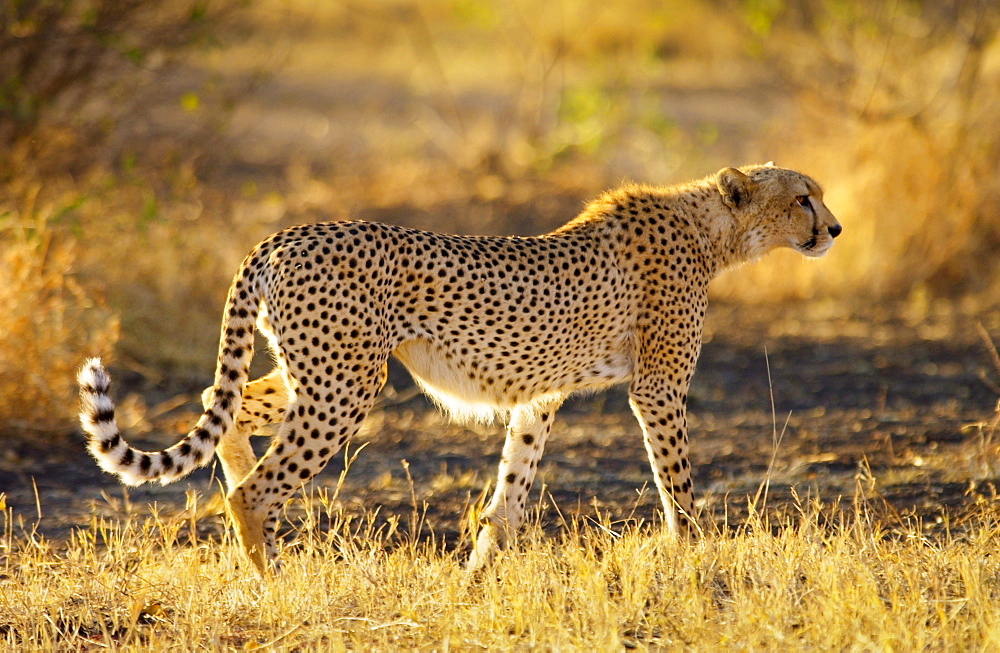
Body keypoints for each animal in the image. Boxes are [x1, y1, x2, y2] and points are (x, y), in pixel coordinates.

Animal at [78, 163, 840, 572]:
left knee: (227, 411)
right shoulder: (658, 388)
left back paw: (245, 500)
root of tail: (284, 234)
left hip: (315, 374)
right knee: (255, 489)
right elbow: (677, 483)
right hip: (346, 383)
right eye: (802, 196)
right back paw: (272, 582)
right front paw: (695, 556)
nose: (832, 227)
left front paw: (478, 572)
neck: (714, 230)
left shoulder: (540, 395)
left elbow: (510, 490)